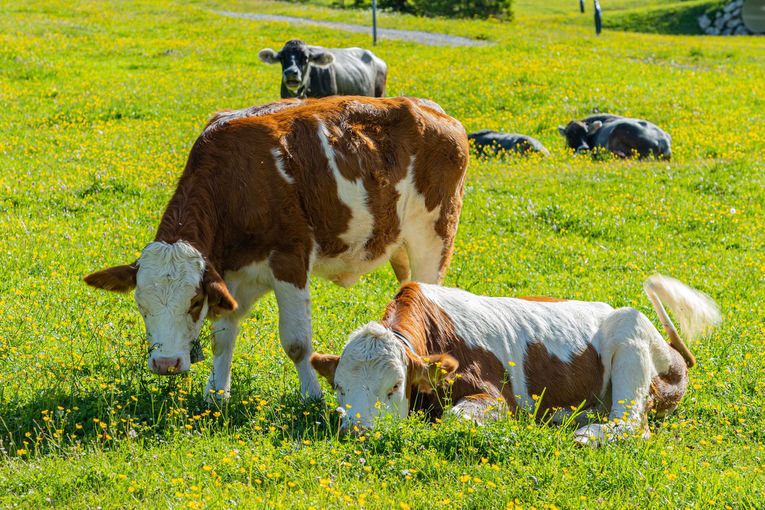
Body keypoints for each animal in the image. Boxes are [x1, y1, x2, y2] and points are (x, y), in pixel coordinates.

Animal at [83, 93, 466, 400]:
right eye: (141, 304)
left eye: (192, 302)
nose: (166, 364)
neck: (238, 182)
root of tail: (432, 110)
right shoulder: (227, 274)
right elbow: (222, 335)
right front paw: (216, 394)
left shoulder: (290, 260)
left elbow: (297, 343)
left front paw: (313, 397)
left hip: (433, 237)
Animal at [308, 274, 720, 442]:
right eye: (339, 387)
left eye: (395, 386)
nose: (357, 431)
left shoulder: (496, 396)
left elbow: (457, 418)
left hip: (629, 334)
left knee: (632, 422)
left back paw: (587, 435)